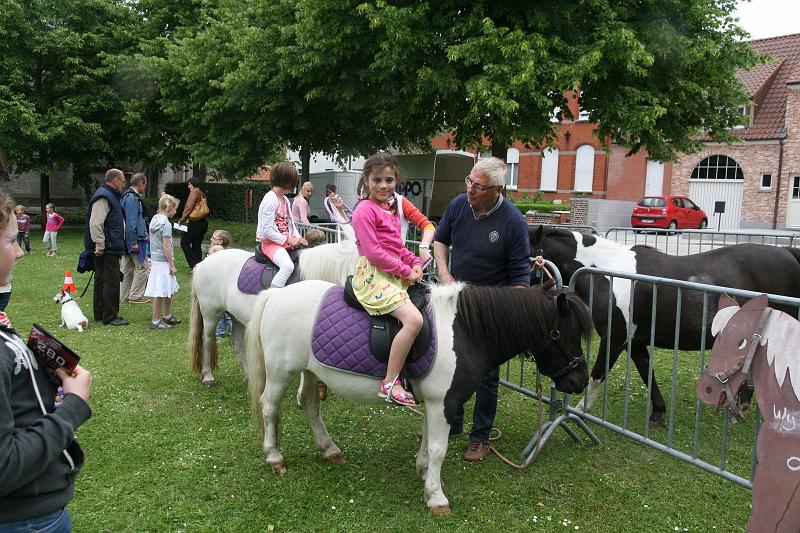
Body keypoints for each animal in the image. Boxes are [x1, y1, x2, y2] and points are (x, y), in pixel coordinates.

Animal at [189, 234, 358, 386]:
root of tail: (203, 263)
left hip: (236, 315)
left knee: (236, 343)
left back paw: (249, 376)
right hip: (210, 312)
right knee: (207, 339)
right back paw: (208, 376)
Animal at [245, 278, 592, 512]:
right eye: (567, 334)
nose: (581, 380)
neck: (466, 331)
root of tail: (276, 294)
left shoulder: (434, 403)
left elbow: (427, 439)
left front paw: (424, 472)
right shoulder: (444, 403)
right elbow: (439, 447)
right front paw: (436, 496)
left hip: (310, 370)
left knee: (309, 405)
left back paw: (329, 449)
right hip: (281, 372)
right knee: (269, 406)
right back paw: (274, 457)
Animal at [532, 224, 800, 424]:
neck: (607, 274)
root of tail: (789, 254)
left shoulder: (614, 338)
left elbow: (597, 376)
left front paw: (578, 412)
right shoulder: (635, 341)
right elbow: (647, 373)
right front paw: (658, 413)